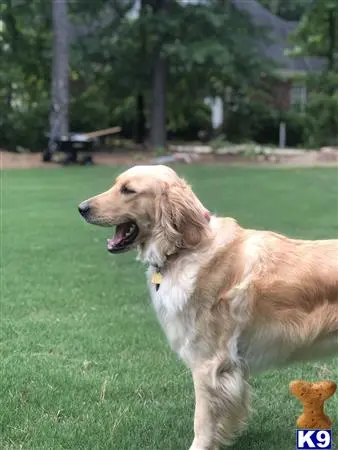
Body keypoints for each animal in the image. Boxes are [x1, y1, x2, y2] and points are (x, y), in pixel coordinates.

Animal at [78, 165, 338, 450]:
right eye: (116, 185)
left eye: (128, 190)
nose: (81, 208)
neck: (184, 248)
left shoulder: (207, 363)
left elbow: (202, 422)